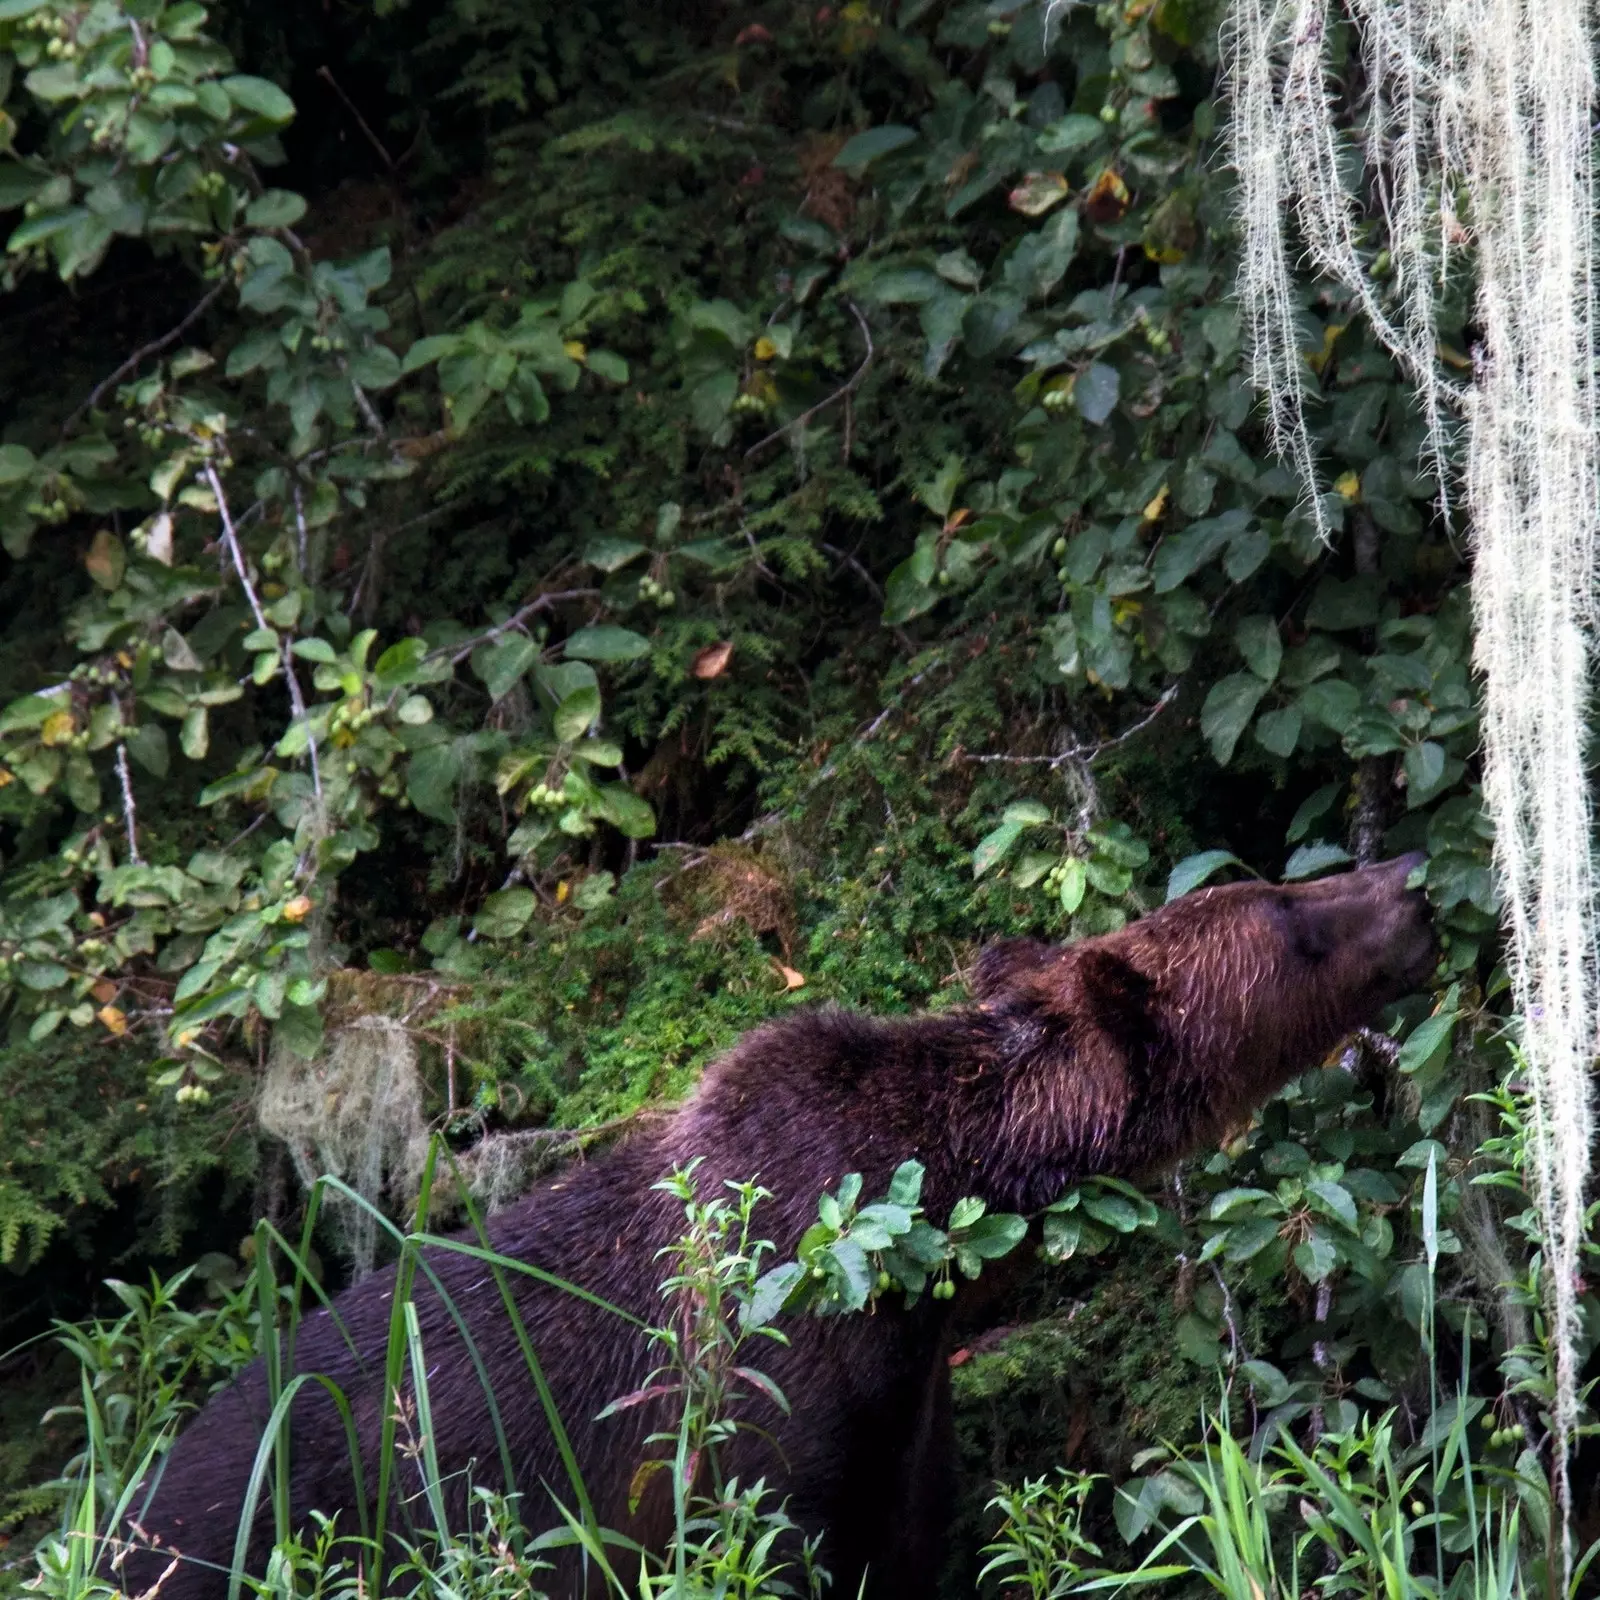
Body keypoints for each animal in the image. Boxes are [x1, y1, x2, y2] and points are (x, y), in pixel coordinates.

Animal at [118, 857, 1433, 1593]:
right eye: (1287, 914)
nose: (1411, 875)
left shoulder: (903, 1404)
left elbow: (909, 1536)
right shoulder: (756, 1400)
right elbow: (769, 1526)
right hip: (252, 1522)